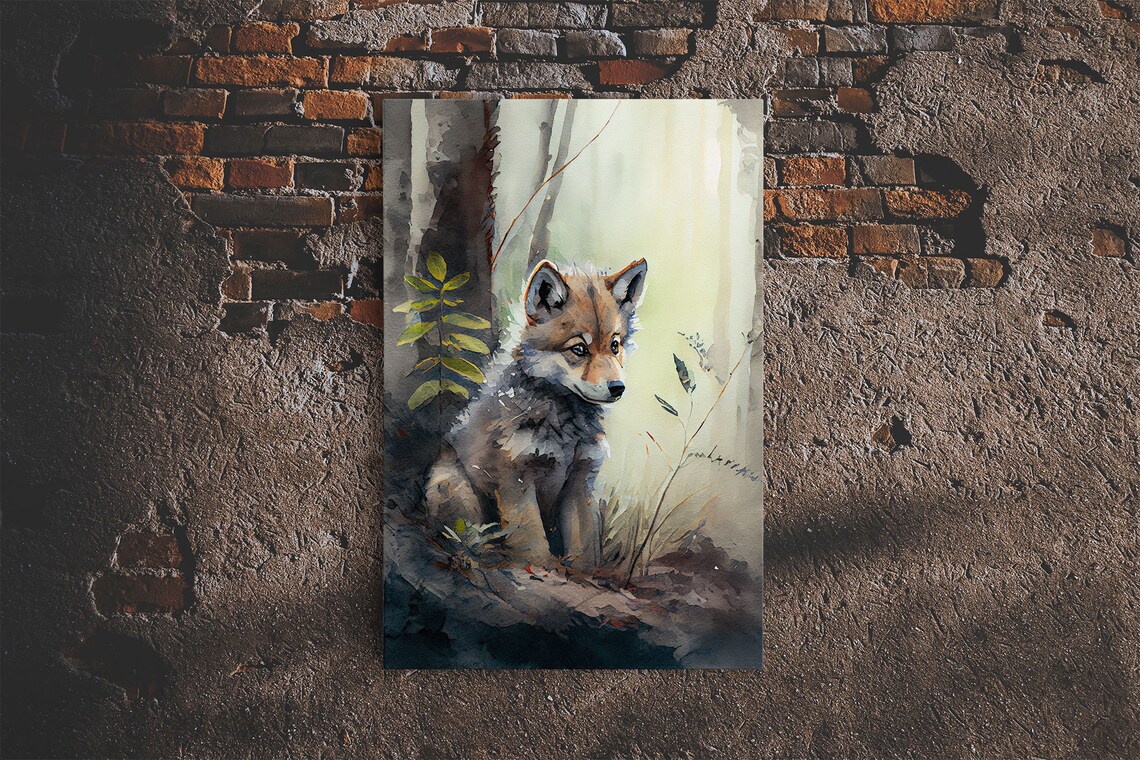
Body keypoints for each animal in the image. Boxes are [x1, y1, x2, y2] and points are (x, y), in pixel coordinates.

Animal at [424, 258, 648, 569]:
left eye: (614, 346)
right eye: (579, 349)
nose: (618, 388)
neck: (564, 429)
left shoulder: (579, 482)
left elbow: (584, 549)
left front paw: (581, 571)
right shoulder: (516, 480)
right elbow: (532, 545)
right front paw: (539, 568)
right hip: (455, 490)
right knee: (465, 539)